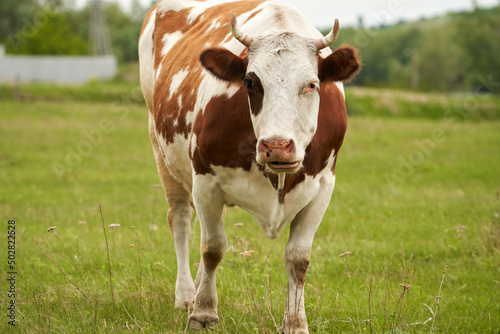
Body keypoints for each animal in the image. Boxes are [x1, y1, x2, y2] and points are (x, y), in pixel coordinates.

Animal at [139, 0, 362, 332]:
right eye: (250, 82)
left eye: (312, 84)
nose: (277, 146)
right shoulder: (205, 179)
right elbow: (213, 248)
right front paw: (204, 313)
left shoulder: (323, 185)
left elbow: (298, 258)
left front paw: (296, 322)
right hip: (161, 149)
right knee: (180, 220)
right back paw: (186, 295)